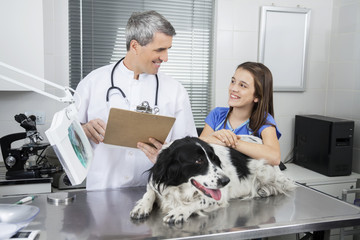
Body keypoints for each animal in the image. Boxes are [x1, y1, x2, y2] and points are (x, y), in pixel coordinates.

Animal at [130, 136, 296, 224]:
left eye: (214, 159)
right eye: (198, 161)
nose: (226, 181)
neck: (179, 187)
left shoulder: (218, 197)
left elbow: (198, 202)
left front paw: (179, 212)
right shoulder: (157, 181)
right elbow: (149, 193)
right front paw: (141, 207)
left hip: (265, 170)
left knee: (279, 185)